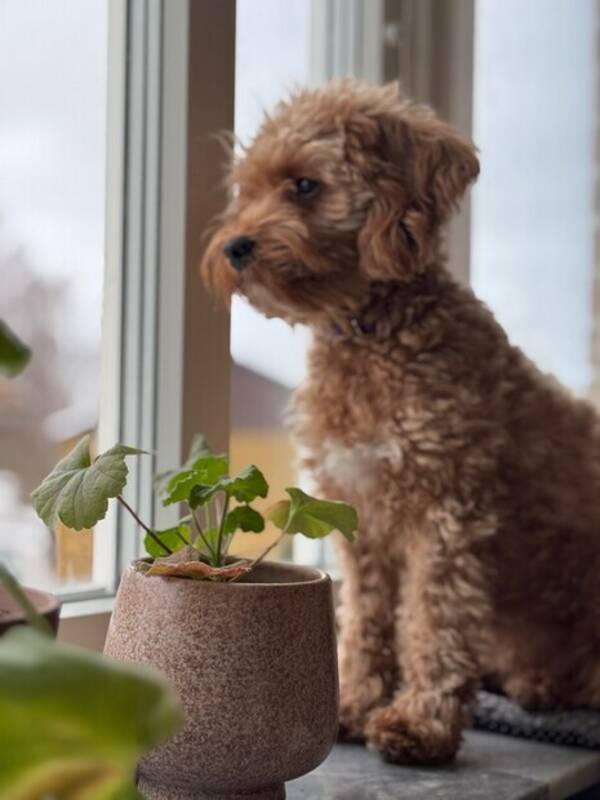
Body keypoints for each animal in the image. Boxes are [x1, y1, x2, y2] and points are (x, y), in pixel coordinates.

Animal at [200, 79, 600, 764]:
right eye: (247, 190)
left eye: (304, 185)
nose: (234, 247)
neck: (370, 333)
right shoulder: (359, 513)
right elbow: (366, 620)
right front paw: (356, 703)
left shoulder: (448, 510)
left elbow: (433, 621)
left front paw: (419, 722)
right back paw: (534, 683)